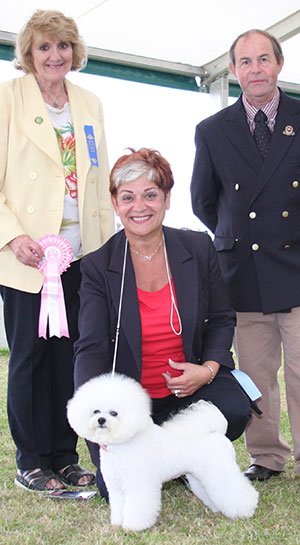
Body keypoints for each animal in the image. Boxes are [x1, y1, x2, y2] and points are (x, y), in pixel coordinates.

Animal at [67, 372, 258, 528]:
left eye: (114, 413)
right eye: (95, 411)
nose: (101, 420)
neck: (124, 444)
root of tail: (217, 432)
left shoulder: (138, 485)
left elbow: (138, 508)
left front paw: (133, 527)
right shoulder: (117, 488)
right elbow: (119, 506)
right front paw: (117, 524)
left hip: (219, 471)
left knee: (235, 489)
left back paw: (245, 509)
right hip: (199, 475)